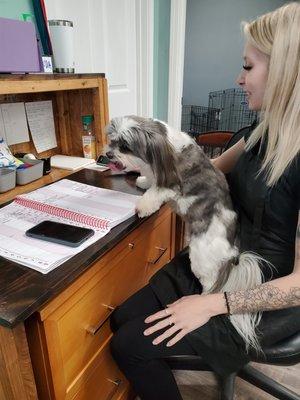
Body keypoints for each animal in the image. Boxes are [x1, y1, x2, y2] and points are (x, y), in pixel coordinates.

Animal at [105, 115, 264, 350]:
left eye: (125, 146)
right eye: (112, 140)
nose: (107, 154)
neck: (164, 146)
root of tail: (231, 252)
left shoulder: (170, 184)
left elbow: (156, 192)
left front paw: (143, 206)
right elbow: (151, 180)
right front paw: (143, 179)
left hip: (201, 260)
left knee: (210, 285)